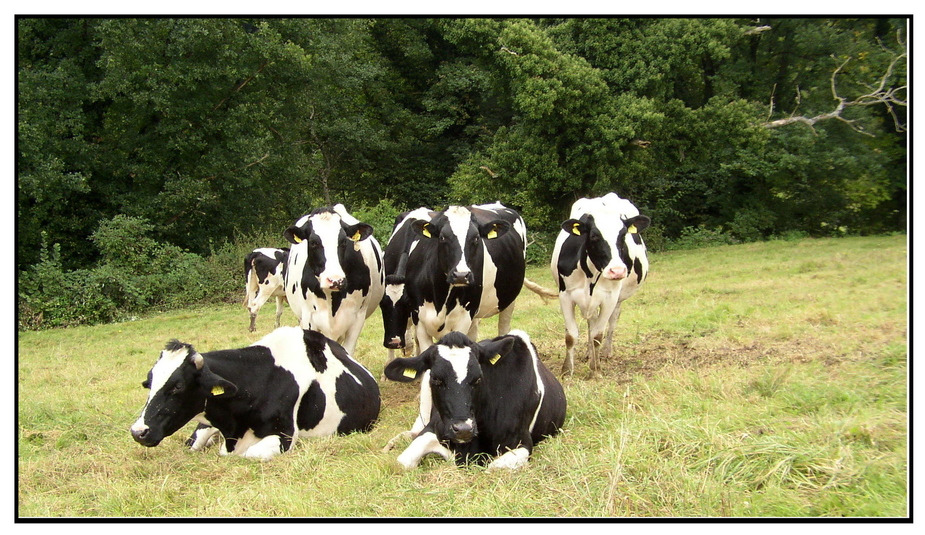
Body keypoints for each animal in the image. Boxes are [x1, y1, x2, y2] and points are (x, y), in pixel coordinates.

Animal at [380, 328, 564, 472]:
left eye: (478, 378)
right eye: (436, 379)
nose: (463, 429)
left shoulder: (521, 442)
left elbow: (493, 469)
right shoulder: (433, 429)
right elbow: (402, 463)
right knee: (414, 430)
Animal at [548, 192, 648, 372]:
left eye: (623, 236)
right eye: (594, 236)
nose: (617, 271)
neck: (590, 274)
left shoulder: (610, 298)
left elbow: (597, 335)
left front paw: (595, 368)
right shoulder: (565, 295)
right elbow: (571, 335)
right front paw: (567, 370)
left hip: (618, 298)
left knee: (613, 320)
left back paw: (606, 351)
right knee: (591, 321)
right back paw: (589, 353)